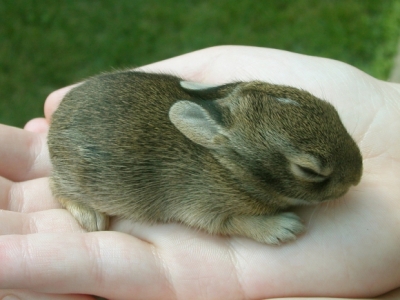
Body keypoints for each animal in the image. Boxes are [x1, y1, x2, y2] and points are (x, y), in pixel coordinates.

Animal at [47, 71, 362, 245]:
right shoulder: (205, 207)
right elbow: (232, 223)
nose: (357, 176)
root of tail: (54, 126)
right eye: (309, 170)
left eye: (332, 111)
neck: (230, 168)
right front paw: (283, 228)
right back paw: (92, 218)